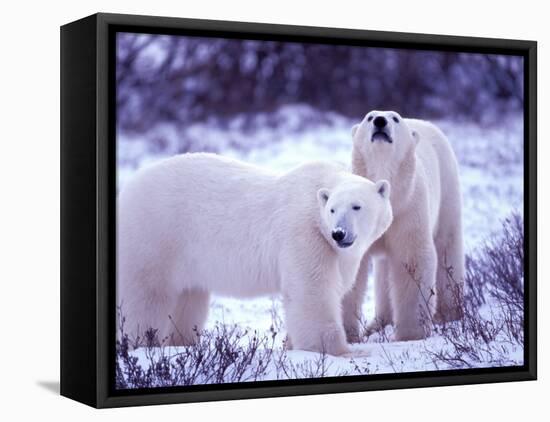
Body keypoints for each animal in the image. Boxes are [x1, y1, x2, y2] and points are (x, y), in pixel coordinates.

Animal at [118, 152, 394, 356]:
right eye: (333, 209)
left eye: (357, 206)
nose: (338, 233)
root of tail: (127, 189)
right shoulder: (304, 232)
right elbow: (313, 291)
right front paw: (340, 350)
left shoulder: (337, 252)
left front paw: (291, 346)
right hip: (155, 235)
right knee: (147, 296)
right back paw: (142, 343)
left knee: (187, 299)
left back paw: (180, 343)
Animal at [344, 110, 466, 342]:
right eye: (369, 116)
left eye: (395, 118)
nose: (380, 121)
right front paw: (347, 336)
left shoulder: (408, 209)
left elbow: (412, 259)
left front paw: (410, 335)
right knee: (384, 273)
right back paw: (378, 324)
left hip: (447, 188)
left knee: (447, 248)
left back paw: (449, 314)